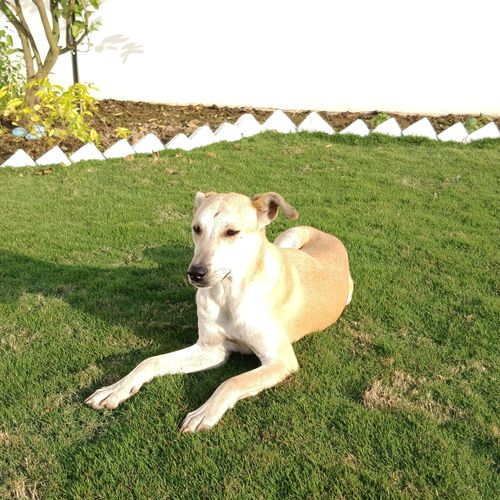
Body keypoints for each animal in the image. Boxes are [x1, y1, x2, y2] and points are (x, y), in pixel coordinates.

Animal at [85, 189, 352, 432]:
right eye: (196, 228)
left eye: (232, 232)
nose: (196, 273)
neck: (228, 293)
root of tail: (329, 236)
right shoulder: (210, 349)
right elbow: (150, 361)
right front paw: (116, 389)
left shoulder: (281, 361)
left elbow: (231, 382)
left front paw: (204, 412)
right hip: (286, 239)